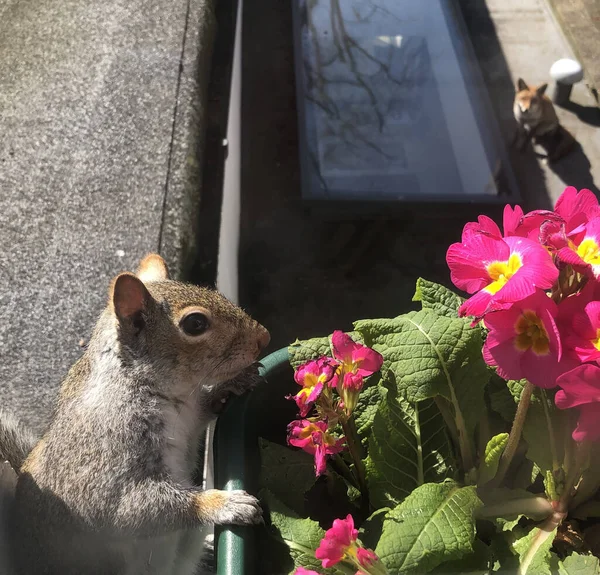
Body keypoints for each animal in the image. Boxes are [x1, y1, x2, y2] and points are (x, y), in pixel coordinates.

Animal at [0, 254, 270, 572]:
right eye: (195, 323)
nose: (264, 338)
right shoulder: (104, 461)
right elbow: (128, 509)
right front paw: (225, 504)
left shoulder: (190, 416)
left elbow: (204, 410)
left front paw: (234, 384)